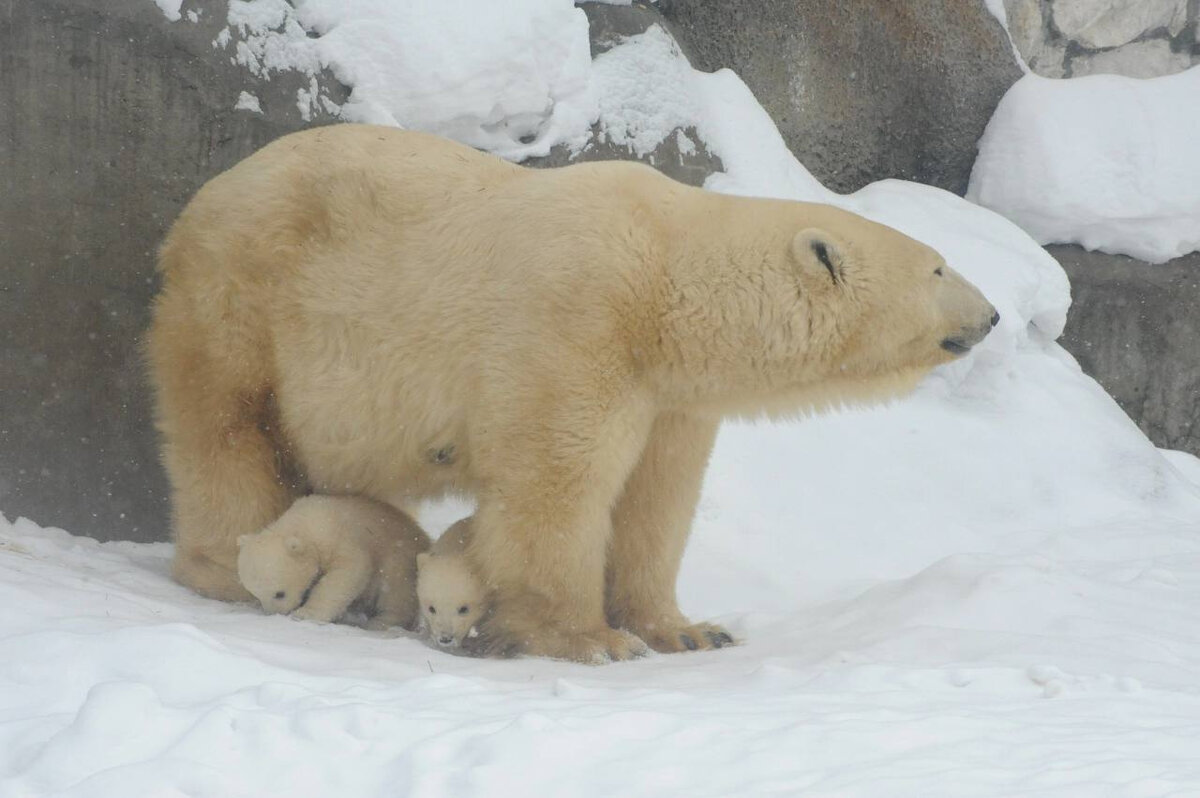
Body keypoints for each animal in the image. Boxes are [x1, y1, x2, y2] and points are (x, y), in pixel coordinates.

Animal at [236, 492, 429, 628]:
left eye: (280, 594)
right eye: (256, 594)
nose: (276, 614)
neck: (306, 522)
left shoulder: (339, 537)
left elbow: (349, 571)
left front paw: (305, 614)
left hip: (398, 557)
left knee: (396, 591)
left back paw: (381, 621)